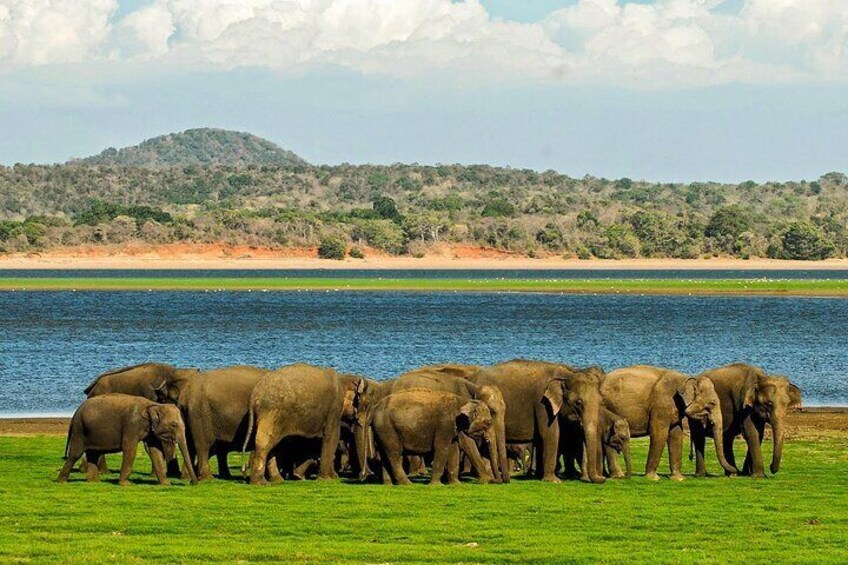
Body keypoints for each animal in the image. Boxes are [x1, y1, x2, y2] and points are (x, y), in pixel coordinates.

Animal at [58, 393, 197, 486]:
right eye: (174, 424)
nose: (192, 482)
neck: (154, 405)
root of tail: (76, 412)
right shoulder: (132, 424)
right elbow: (129, 448)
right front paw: (126, 484)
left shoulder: (149, 430)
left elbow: (154, 451)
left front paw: (166, 484)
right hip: (80, 430)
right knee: (75, 454)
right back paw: (62, 481)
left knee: (93, 454)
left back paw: (94, 482)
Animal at [474, 359, 607, 483]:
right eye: (578, 402)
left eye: (601, 401)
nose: (603, 478)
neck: (568, 373)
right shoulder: (542, 403)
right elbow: (550, 433)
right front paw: (553, 481)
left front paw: (538, 476)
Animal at [601, 365, 737, 480]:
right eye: (712, 403)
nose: (734, 473)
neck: (685, 378)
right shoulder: (661, 405)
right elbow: (659, 434)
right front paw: (653, 478)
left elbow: (676, 435)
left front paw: (679, 478)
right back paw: (618, 475)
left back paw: (616, 475)